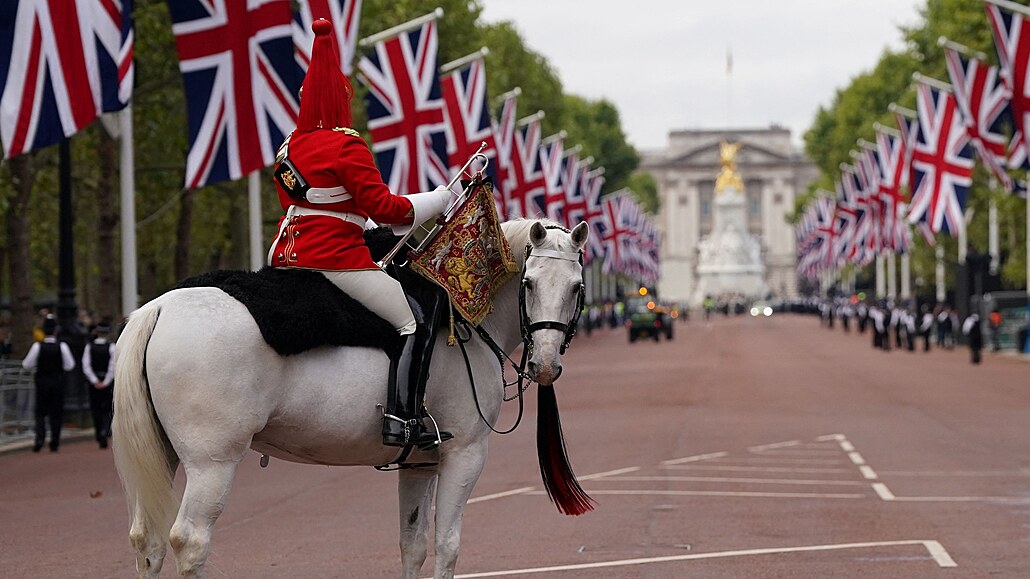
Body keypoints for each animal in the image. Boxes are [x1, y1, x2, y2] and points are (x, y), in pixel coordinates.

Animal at [110, 218, 597, 572]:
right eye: (529, 283)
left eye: (576, 287)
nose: (545, 366)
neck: (463, 312)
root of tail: (160, 306)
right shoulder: (466, 453)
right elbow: (447, 544)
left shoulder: (420, 461)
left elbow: (412, 544)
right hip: (213, 462)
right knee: (190, 540)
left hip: (166, 453)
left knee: (147, 539)